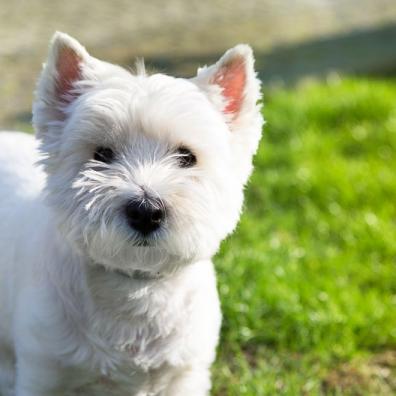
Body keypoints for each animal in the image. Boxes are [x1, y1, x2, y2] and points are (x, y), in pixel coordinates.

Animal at [0, 32, 262, 394]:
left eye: (187, 157)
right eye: (102, 154)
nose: (146, 212)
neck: (135, 291)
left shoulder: (185, 373)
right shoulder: (44, 370)